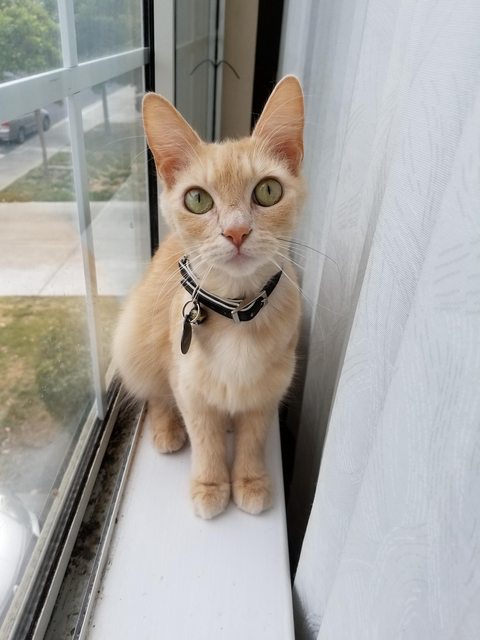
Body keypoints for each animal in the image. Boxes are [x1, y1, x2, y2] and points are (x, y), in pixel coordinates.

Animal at [112, 75, 305, 519]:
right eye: (197, 199)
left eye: (268, 191)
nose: (236, 232)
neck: (237, 312)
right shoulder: (190, 388)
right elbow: (206, 440)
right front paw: (211, 484)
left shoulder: (269, 390)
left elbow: (253, 438)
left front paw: (250, 480)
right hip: (135, 343)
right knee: (155, 396)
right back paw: (167, 428)